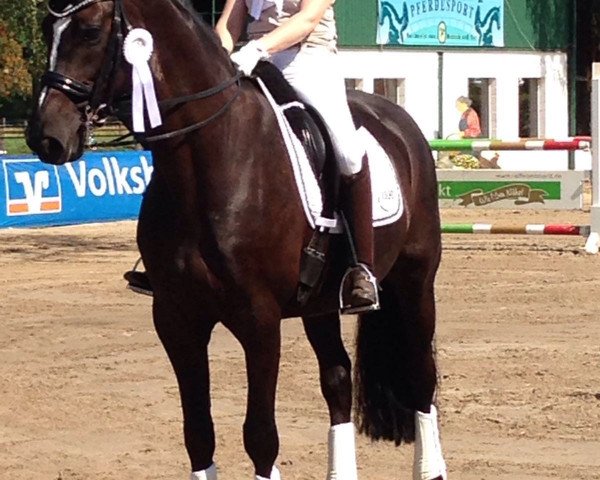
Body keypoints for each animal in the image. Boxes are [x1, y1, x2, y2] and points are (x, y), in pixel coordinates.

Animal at [27, 1, 446, 478]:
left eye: (91, 32)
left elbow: (261, 437)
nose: (44, 136)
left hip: (415, 282)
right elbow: (198, 434)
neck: (209, 159)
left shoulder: (259, 320)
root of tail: (400, 122)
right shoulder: (176, 318)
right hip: (320, 304)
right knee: (338, 380)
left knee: (421, 378)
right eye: (48, 29)